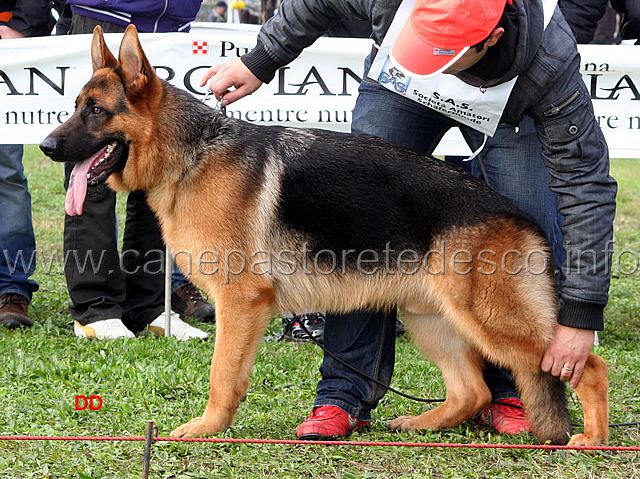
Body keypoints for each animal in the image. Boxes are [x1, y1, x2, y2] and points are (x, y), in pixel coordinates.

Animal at [41, 25, 608, 446]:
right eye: (75, 106)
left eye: (96, 111)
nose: (46, 146)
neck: (192, 154)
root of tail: (519, 215)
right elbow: (231, 375)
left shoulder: (240, 301)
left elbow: (222, 375)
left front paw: (207, 428)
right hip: (430, 316)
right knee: (474, 391)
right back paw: (420, 423)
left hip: (487, 319)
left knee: (586, 363)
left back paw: (592, 440)